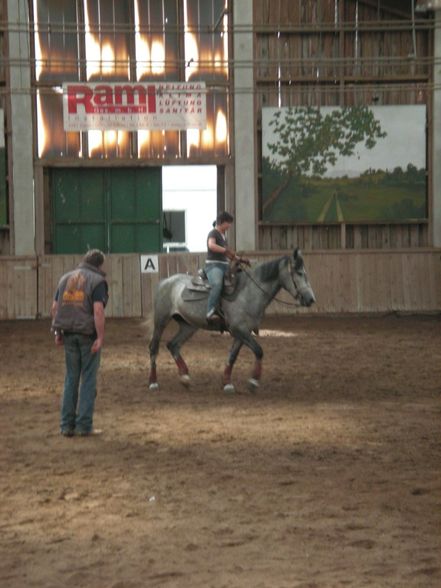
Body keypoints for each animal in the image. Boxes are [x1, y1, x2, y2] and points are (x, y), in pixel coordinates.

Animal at [150, 249, 314, 396]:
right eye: (299, 273)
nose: (311, 299)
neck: (249, 292)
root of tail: (165, 282)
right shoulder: (238, 329)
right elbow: (259, 350)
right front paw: (253, 382)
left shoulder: (243, 332)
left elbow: (232, 356)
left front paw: (227, 383)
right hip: (161, 321)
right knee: (154, 347)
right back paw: (153, 382)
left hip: (188, 326)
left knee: (173, 345)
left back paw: (185, 378)